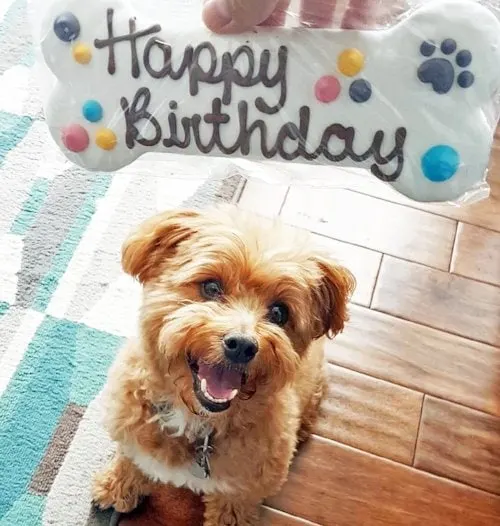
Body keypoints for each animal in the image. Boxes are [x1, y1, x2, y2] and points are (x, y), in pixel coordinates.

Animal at [92, 206, 354, 526]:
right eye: (211, 287)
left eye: (279, 312)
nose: (242, 345)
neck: (198, 422)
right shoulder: (132, 435)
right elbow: (130, 463)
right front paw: (116, 488)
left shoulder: (241, 490)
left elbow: (231, 510)